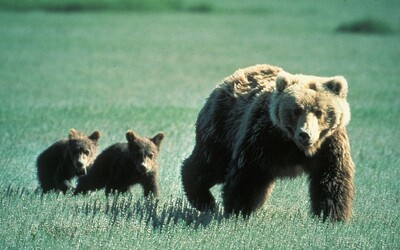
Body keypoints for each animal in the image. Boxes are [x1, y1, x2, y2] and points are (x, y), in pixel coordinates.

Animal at [181, 64, 354, 223]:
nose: (305, 134)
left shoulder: (329, 145)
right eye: (296, 110)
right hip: (222, 127)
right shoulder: (264, 137)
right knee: (209, 164)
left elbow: (331, 178)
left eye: (319, 112)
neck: (296, 147)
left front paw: (331, 217)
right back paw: (204, 200)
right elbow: (249, 172)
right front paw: (238, 210)